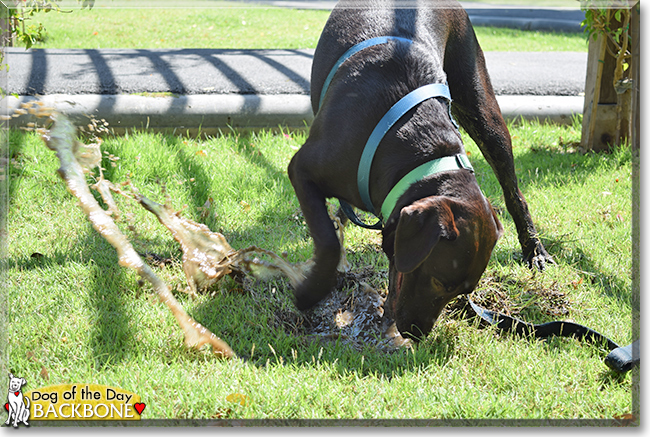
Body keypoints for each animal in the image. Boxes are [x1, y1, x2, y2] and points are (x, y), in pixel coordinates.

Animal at [286, 0, 548, 338]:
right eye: (440, 281)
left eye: (463, 292)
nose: (416, 334)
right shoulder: (303, 170)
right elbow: (329, 241)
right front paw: (312, 291)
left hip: (483, 111)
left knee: (514, 193)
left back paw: (534, 249)